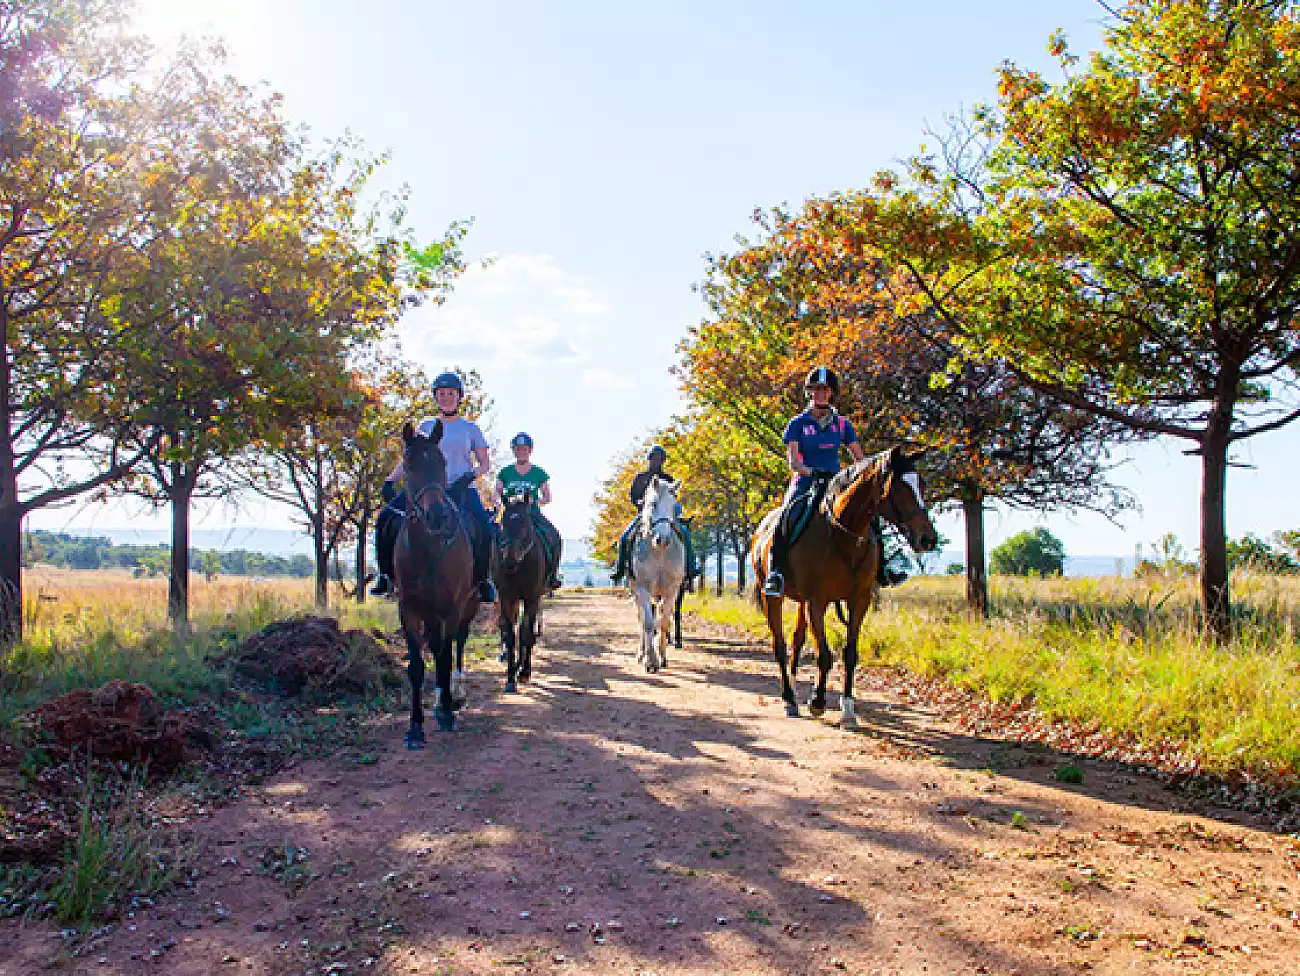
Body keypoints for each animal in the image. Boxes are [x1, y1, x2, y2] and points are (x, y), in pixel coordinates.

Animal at [393, 421, 478, 747]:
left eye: (442, 463)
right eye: (408, 464)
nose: (437, 516)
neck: (426, 550)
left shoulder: (452, 609)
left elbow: (444, 656)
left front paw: (446, 713)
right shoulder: (408, 608)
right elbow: (417, 665)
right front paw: (415, 728)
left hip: (468, 604)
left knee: (455, 644)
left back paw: (453, 695)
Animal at [491, 487, 554, 692]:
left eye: (526, 523)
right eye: (503, 524)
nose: (509, 562)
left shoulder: (531, 598)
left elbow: (526, 634)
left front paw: (524, 672)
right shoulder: (506, 597)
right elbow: (510, 635)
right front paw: (510, 678)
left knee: (528, 632)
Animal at [629, 475, 687, 672]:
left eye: (674, 505)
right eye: (653, 504)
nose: (663, 539)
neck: (659, 552)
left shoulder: (672, 591)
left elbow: (663, 623)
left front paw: (662, 657)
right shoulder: (642, 588)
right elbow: (647, 623)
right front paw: (650, 660)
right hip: (636, 592)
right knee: (641, 619)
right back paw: (641, 654)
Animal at [750, 447, 938, 730]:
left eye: (922, 484)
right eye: (899, 488)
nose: (928, 539)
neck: (842, 536)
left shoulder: (859, 601)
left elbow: (849, 654)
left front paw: (848, 710)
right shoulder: (817, 601)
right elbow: (825, 655)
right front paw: (817, 702)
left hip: (801, 602)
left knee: (796, 641)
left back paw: (792, 691)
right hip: (771, 596)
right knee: (780, 646)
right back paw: (789, 698)